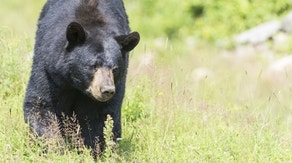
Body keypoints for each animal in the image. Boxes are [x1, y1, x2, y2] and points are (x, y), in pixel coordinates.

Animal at [23, 0, 140, 155]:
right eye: (93, 65)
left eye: (115, 69)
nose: (107, 90)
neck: (76, 84)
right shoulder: (49, 69)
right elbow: (41, 104)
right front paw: (58, 148)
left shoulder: (116, 84)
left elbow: (100, 117)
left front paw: (93, 151)